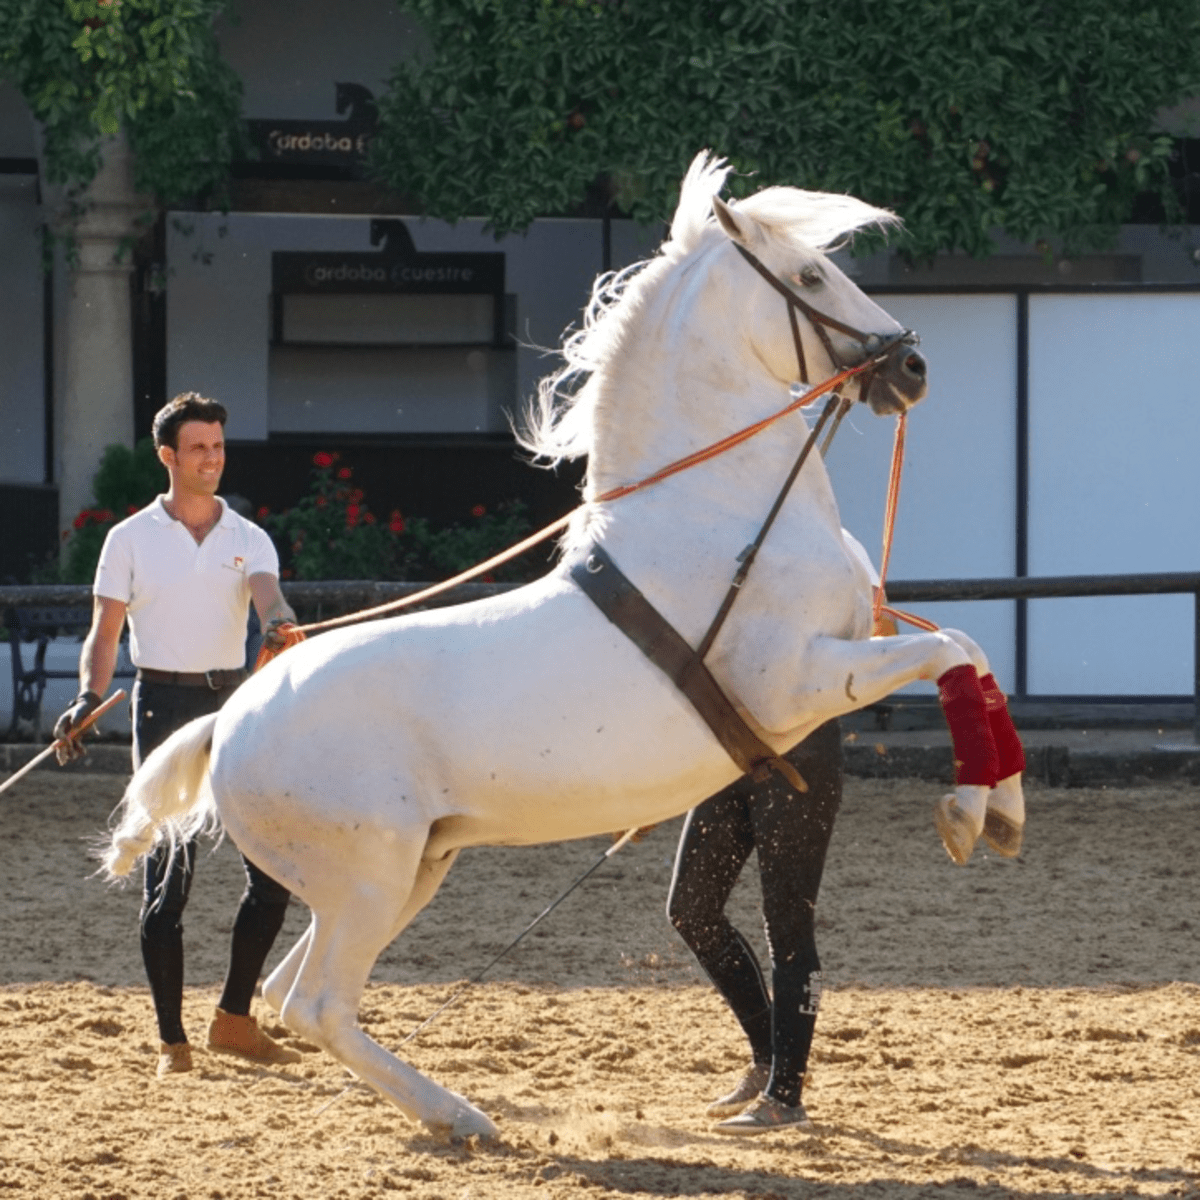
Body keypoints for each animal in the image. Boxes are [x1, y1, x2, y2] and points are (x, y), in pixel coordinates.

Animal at [100, 154, 1022, 1137]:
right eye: (811, 278)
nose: (911, 365)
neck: (722, 515)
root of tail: (226, 724)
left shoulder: (850, 650)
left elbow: (971, 651)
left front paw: (1005, 811)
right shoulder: (801, 681)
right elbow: (951, 652)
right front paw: (971, 814)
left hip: (408, 869)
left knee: (292, 993)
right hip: (369, 880)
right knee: (317, 1004)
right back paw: (462, 1116)